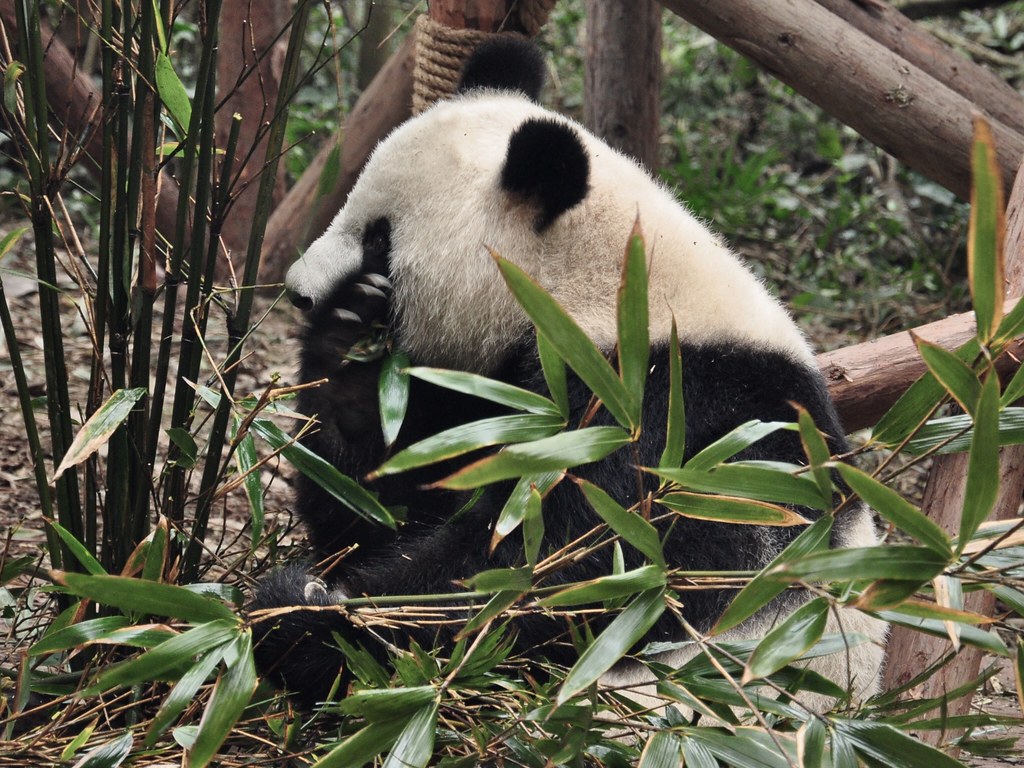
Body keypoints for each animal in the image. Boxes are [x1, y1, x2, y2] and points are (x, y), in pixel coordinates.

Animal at [251, 37, 886, 708]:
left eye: (379, 237)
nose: (298, 292)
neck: (602, 287)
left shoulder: (666, 424)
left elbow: (548, 575)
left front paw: (305, 619)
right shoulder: (493, 399)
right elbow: (382, 505)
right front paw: (350, 353)